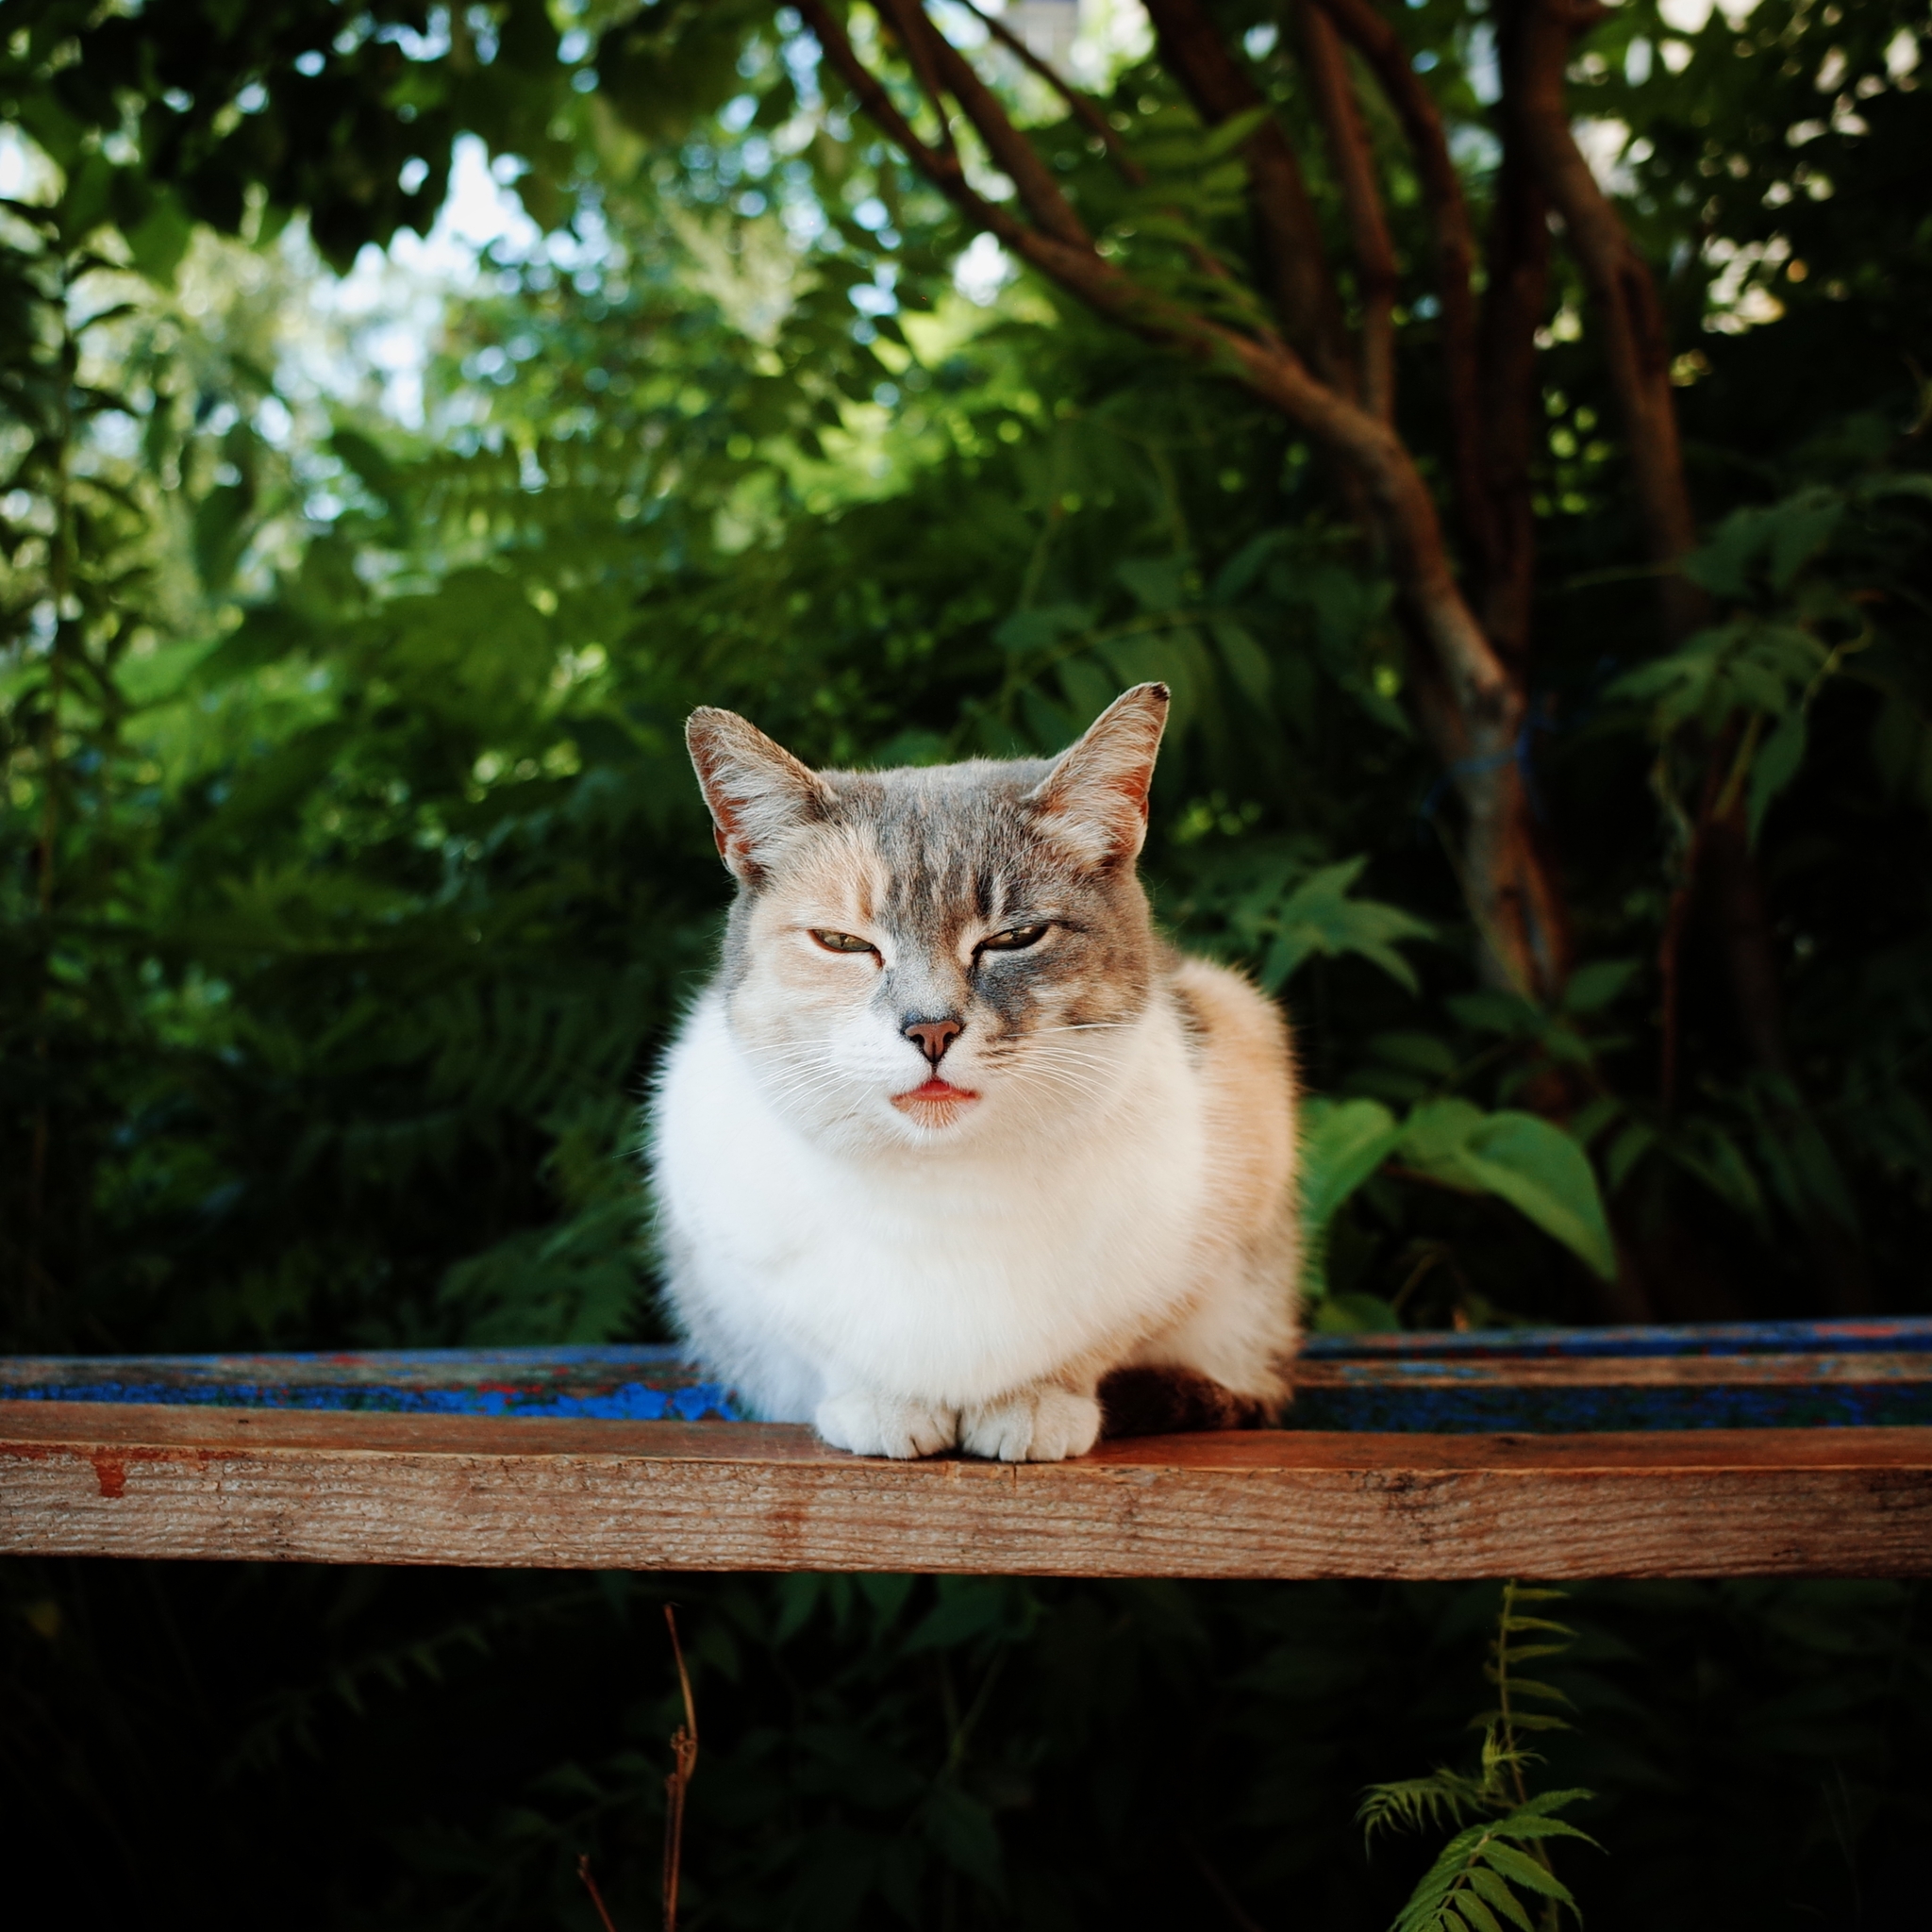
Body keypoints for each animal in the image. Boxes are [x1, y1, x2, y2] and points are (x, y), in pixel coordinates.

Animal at [649, 688, 1298, 1453]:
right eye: (842, 942)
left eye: (1016, 937)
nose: (931, 1029)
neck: (943, 1185)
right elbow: (837, 1352)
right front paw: (884, 1404)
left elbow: (1090, 1343)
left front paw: (1036, 1403)